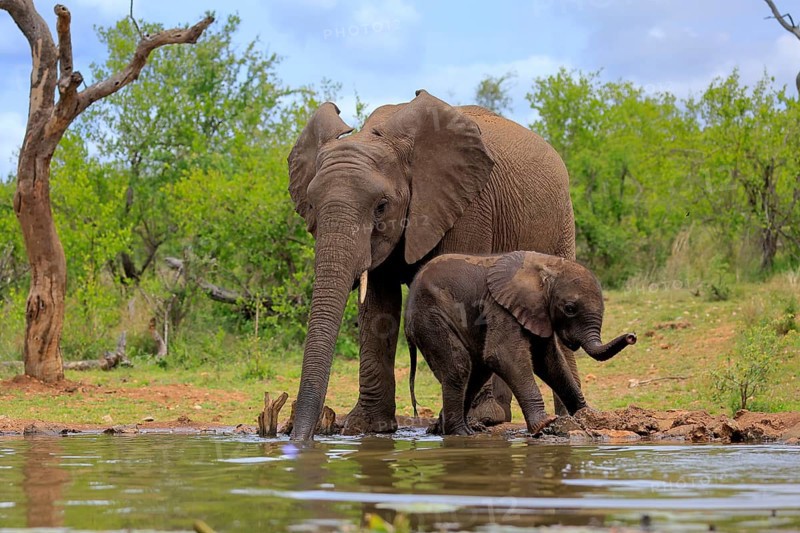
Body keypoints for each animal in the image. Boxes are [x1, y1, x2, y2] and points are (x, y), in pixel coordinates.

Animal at [288, 89, 578, 440]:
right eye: (311, 205)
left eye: (381, 207)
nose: (299, 439)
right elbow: (378, 308)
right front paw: (366, 428)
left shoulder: (469, 205)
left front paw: (464, 423)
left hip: (561, 219)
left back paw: (555, 420)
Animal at [405, 251, 637, 436]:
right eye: (570, 308)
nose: (631, 336)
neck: (548, 266)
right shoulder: (500, 306)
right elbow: (502, 355)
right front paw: (545, 424)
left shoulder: (537, 311)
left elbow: (550, 363)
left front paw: (590, 414)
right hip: (429, 317)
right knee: (460, 365)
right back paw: (460, 433)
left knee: (477, 370)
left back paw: (446, 430)